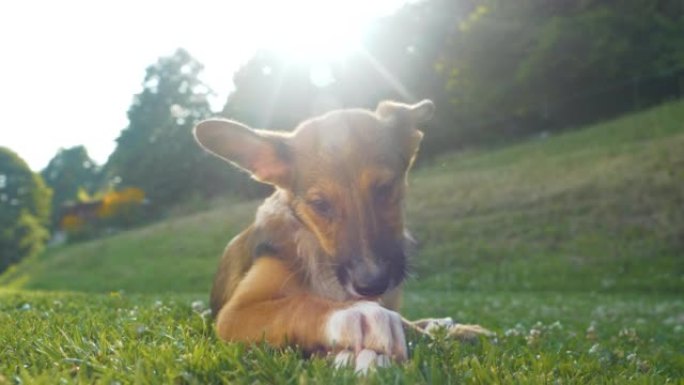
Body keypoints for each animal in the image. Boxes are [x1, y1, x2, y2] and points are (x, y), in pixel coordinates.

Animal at [194, 100, 492, 372]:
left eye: (384, 188)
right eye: (320, 205)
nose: (372, 285)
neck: (316, 252)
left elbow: (409, 325)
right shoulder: (233, 314)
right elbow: (297, 305)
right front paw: (353, 316)